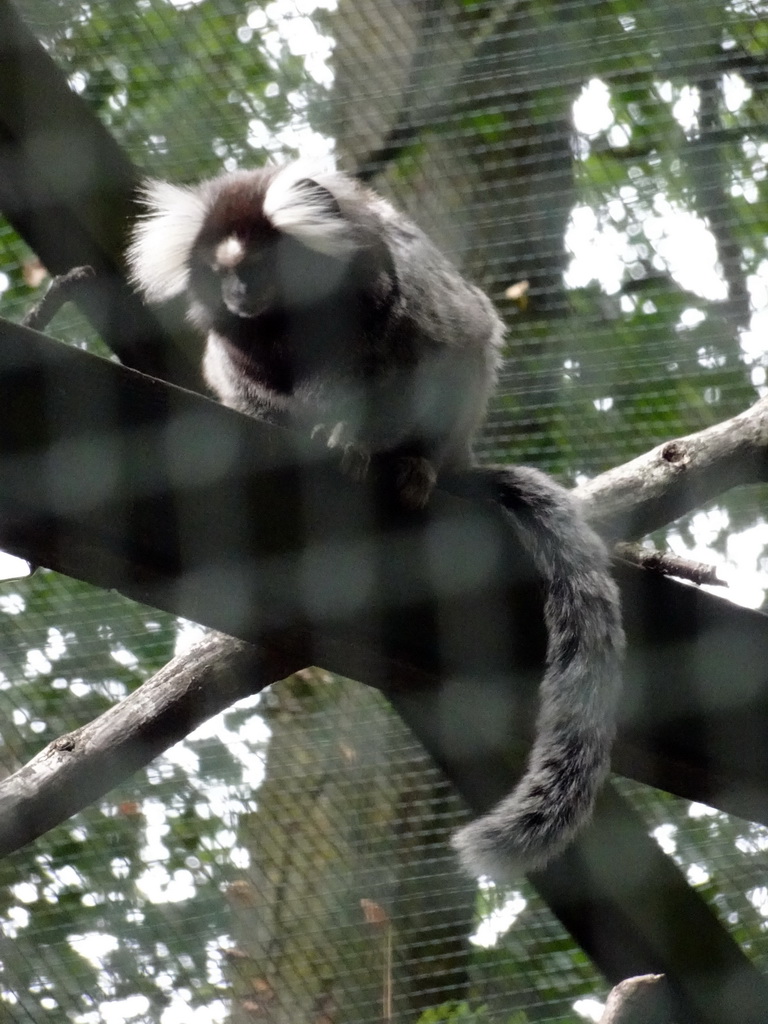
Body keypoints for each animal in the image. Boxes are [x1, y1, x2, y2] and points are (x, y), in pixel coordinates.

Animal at [129, 165, 626, 880]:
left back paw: (417, 468)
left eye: (259, 264)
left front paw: (368, 445)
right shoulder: (242, 359)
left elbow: (433, 345)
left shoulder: (400, 308)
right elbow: (248, 384)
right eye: (220, 272)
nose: (240, 293)